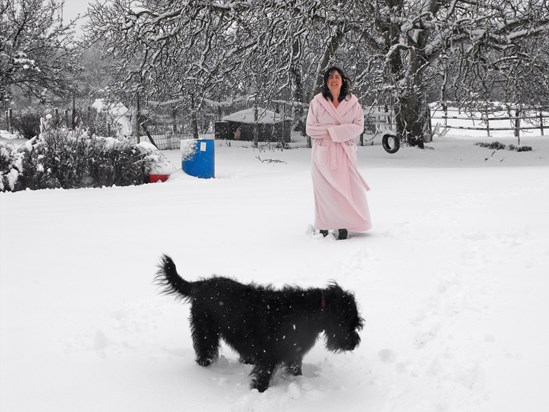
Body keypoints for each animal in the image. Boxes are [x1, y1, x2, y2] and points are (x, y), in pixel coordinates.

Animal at [154, 254, 364, 392]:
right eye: (348, 321)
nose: (355, 343)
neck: (307, 313)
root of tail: (199, 284)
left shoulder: (294, 353)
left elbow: (295, 370)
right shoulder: (269, 354)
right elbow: (264, 375)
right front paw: (259, 391)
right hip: (205, 330)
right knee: (204, 349)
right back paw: (205, 367)